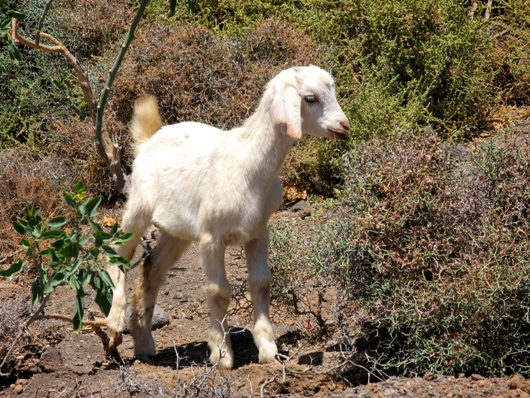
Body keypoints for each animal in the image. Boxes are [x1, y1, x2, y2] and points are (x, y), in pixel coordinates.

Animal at [105, 65, 348, 370]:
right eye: (310, 98)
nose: (344, 126)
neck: (247, 165)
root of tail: (147, 141)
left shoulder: (259, 231)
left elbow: (261, 284)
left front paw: (268, 350)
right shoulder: (212, 237)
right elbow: (219, 291)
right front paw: (221, 354)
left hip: (177, 231)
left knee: (153, 268)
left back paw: (145, 346)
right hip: (139, 206)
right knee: (117, 252)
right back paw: (115, 322)